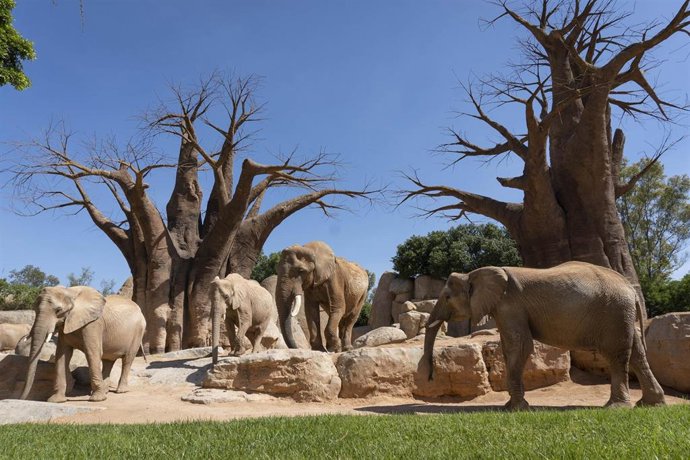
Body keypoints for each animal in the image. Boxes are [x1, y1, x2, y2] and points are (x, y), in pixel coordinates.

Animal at [421, 261, 666, 410]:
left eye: (447, 297)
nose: (430, 376)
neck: (474, 273)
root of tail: (631, 288)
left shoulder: (510, 305)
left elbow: (519, 346)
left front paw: (516, 409)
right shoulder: (505, 309)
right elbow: (509, 347)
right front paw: (511, 407)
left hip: (614, 312)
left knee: (616, 354)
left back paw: (616, 407)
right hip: (622, 315)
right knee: (637, 353)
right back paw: (650, 404)